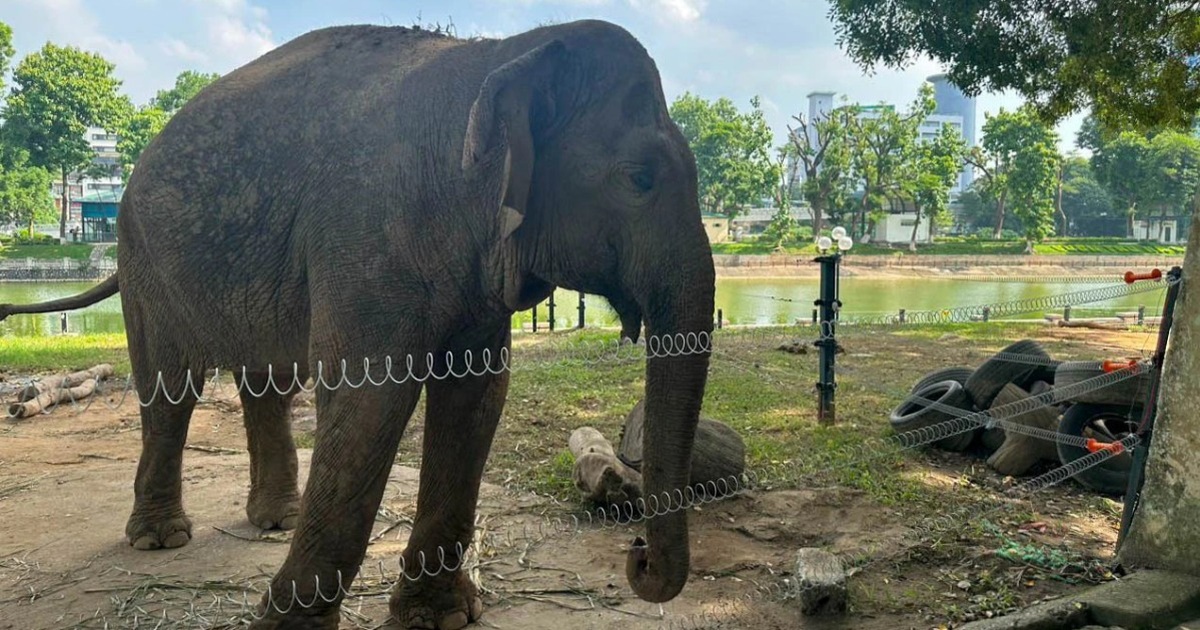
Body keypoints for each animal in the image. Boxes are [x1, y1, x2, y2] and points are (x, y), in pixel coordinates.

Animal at [0, 19, 710, 628]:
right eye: (639, 178)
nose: (638, 556)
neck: (499, 55)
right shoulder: (363, 238)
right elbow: (372, 399)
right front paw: (287, 626)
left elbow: (477, 397)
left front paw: (440, 617)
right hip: (146, 263)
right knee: (170, 390)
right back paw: (161, 539)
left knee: (267, 383)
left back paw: (276, 520)